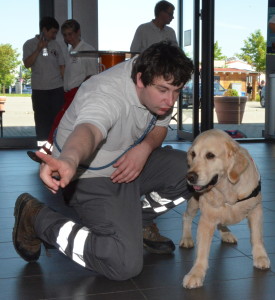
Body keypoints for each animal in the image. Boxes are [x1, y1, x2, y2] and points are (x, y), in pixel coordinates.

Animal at [180, 129, 270, 288]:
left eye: (210, 155)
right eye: (193, 154)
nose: (190, 177)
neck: (226, 190)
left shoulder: (256, 210)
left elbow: (256, 236)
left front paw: (260, 257)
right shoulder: (207, 219)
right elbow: (202, 251)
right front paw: (196, 273)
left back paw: (226, 234)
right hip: (194, 203)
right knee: (186, 217)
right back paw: (186, 238)